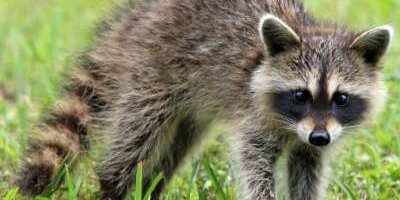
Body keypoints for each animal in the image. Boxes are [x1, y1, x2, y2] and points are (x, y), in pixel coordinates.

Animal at [17, 0, 392, 199]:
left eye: (341, 98)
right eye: (300, 95)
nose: (320, 136)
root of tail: (136, 17)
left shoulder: (312, 140)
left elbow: (307, 168)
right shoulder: (253, 118)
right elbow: (254, 165)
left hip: (189, 105)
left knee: (176, 147)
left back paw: (151, 186)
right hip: (151, 71)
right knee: (136, 135)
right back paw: (114, 185)